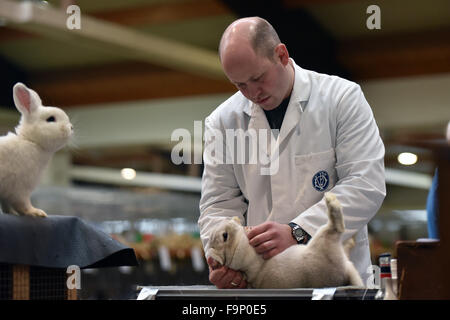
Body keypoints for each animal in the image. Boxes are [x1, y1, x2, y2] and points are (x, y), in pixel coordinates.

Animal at [0, 82, 73, 218]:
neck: (31, 141)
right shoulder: (20, 190)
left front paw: (12, 213)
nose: (71, 128)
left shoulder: (8, 194)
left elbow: (7, 205)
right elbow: (23, 205)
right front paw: (37, 212)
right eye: (51, 119)